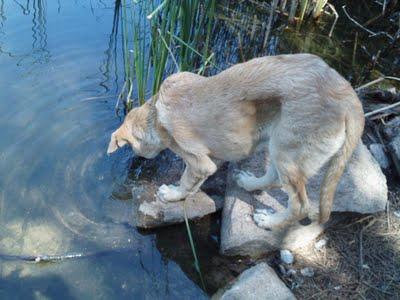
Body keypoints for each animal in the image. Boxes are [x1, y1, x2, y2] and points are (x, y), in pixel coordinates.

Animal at [108, 53, 364, 227]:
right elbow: (195, 182)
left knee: (300, 205)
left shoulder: (199, 161)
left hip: (288, 152)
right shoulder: (212, 160)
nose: (137, 162)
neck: (156, 114)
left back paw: (269, 222)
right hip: (278, 145)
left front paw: (172, 195)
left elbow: (186, 180)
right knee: (274, 178)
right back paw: (250, 183)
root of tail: (348, 95)